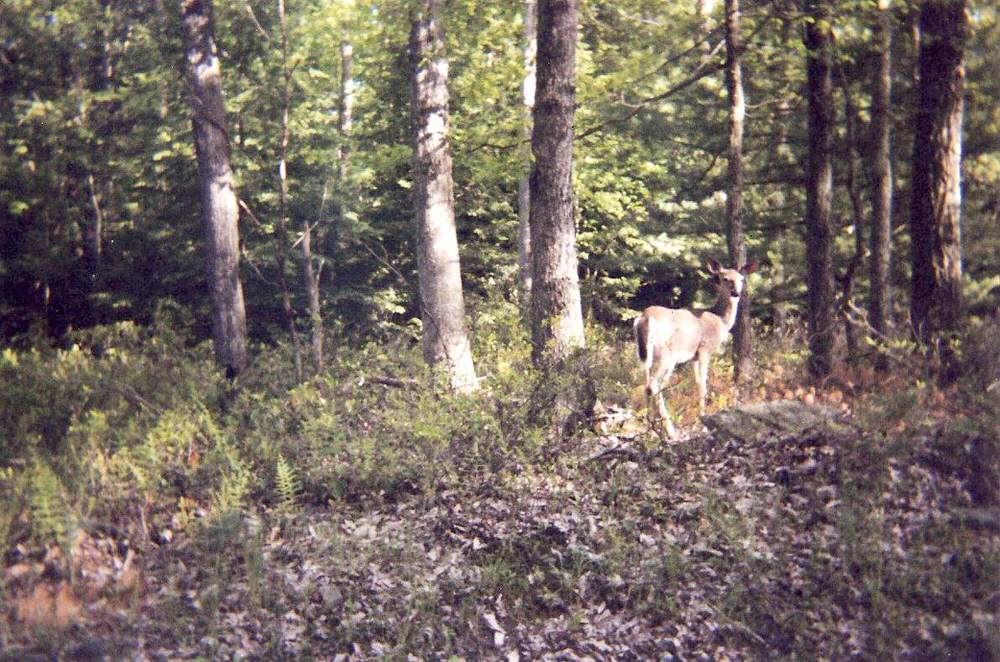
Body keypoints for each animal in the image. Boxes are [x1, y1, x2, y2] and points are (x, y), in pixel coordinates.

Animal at [634, 258, 758, 437]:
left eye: (741, 279)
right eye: (725, 278)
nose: (736, 293)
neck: (720, 321)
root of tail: (645, 318)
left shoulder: (694, 356)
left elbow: (697, 381)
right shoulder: (706, 348)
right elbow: (703, 386)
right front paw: (704, 423)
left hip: (644, 354)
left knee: (646, 384)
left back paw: (650, 430)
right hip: (668, 354)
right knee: (654, 385)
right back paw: (670, 431)